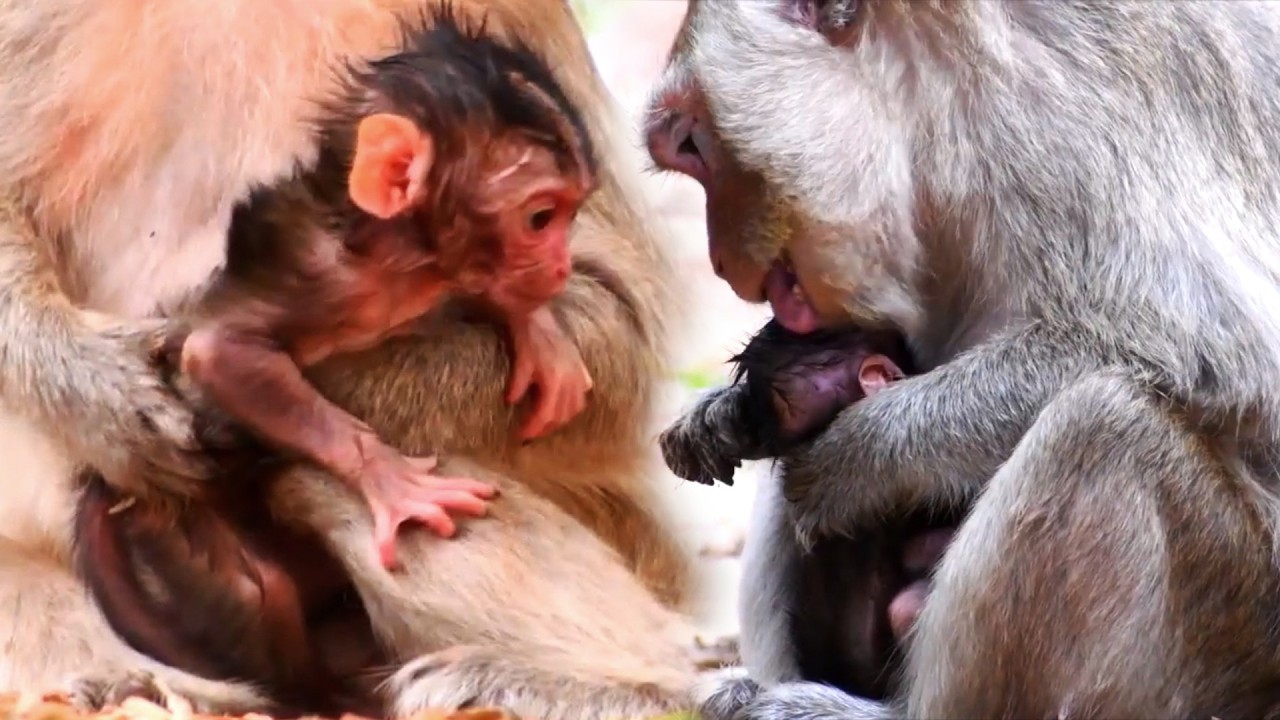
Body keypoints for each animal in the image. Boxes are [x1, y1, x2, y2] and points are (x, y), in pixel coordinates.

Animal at [172, 15, 601, 568]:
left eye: (572, 214)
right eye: (541, 219)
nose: (562, 267)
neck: (396, 263)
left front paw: (538, 332)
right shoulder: (321, 279)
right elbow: (218, 353)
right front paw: (389, 478)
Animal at [645, 1, 1280, 718]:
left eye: (691, 145)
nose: (722, 263)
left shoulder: (1066, 129)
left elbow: (1213, 354)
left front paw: (857, 456)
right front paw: (725, 417)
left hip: (1223, 633)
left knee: (1102, 425)